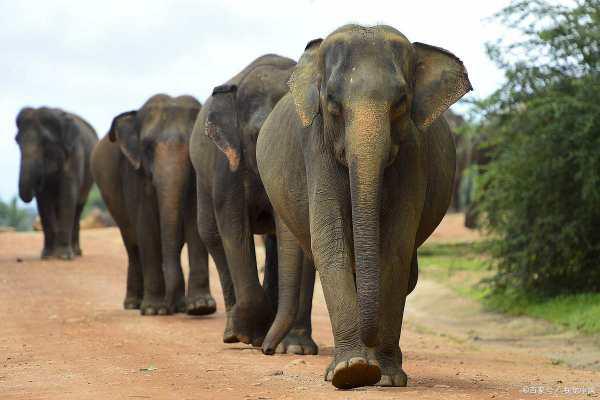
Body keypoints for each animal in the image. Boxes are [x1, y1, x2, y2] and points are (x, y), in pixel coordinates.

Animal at [15, 106, 98, 260]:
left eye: (45, 142)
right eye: (17, 141)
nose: (38, 181)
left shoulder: (74, 154)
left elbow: (67, 196)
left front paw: (64, 257)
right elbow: (43, 200)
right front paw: (47, 256)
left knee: (78, 208)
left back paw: (76, 253)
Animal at [91, 94, 216, 316]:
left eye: (193, 145)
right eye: (147, 148)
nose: (172, 306)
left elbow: (195, 222)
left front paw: (200, 307)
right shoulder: (134, 173)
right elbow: (146, 226)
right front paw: (153, 310)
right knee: (133, 246)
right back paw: (134, 304)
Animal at [190, 54, 318, 354]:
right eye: (257, 135)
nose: (268, 350)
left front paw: (295, 348)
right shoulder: (228, 165)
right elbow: (234, 226)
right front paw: (251, 334)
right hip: (202, 178)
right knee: (213, 236)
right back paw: (233, 334)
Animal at [255, 25, 472, 388]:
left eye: (401, 102)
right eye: (332, 102)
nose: (266, 351)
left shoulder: (412, 151)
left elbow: (395, 248)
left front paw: (386, 378)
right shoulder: (318, 147)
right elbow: (331, 243)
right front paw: (351, 370)